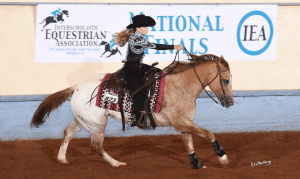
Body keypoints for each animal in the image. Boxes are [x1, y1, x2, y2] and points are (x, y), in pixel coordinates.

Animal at [31, 53, 236, 169]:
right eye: (226, 80)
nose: (230, 103)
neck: (181, 86)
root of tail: (78, 86)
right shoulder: (181, 123)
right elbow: (209, 134)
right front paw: (223, 158)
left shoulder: (185, 124)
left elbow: (189, 144)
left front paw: (197, 164)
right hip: (97, 124)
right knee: (96, 146)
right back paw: (116, 163)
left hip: (83, 120)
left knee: (68, 132)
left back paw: (62, 159)